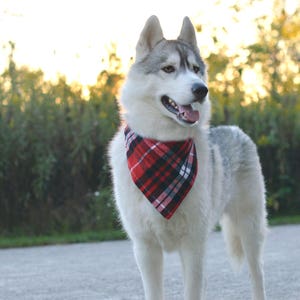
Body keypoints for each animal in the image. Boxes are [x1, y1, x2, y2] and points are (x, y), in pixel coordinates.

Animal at [108, 15, 268, 298]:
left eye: (195, 69)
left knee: (257, 276)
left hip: (250, 229)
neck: (163, 145)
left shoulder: (193, 244)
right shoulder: (146, 248)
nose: (201, 89)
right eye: (169, 69)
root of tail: (235, 129)